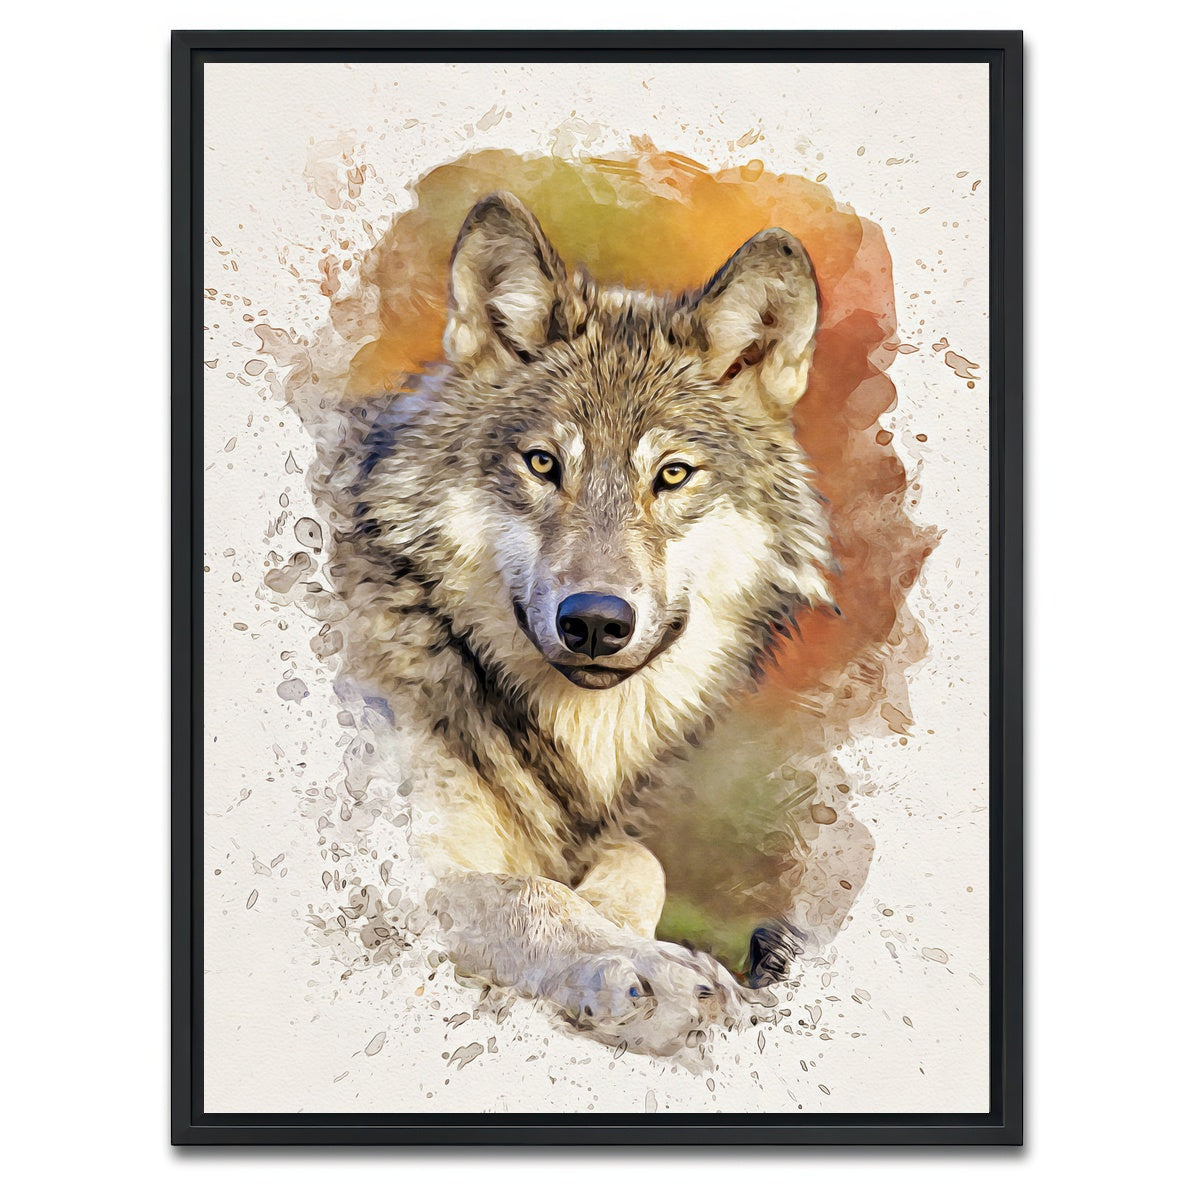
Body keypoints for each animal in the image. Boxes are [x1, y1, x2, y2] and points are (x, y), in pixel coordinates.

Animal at [311, 193, 838, 1053]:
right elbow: (532, 894)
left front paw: (625, 930)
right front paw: (646, 970)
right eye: (543, 465)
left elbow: (637, 862)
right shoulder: (377, 860)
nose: (594, 622)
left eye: (672, 475)